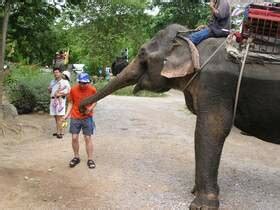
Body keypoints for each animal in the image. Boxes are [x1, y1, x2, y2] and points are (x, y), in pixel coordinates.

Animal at [80, 24, 280, 208]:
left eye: (142, 53)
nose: (82, 108)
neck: (191, 41)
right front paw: (195, 191)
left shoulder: (215, 84)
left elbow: (212, 129)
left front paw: (201, 205)